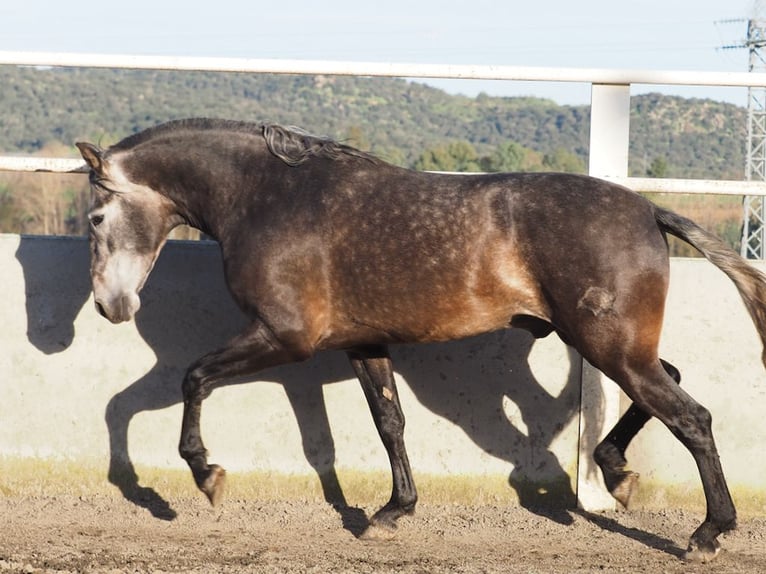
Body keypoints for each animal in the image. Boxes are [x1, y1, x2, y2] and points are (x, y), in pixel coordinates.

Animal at [76, 119, 766, 564]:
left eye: (94, 217)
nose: (111, 306)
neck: (271, 198)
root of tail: (650, 210)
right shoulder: (363, 344)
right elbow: (390, 425)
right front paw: (392, 513)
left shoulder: (285, 337)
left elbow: (189, 378)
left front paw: (205, 475)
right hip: (614, 345)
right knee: (668, 385)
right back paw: (617, 471)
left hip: (610, 347)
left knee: (691, 416)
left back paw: (708, 532)